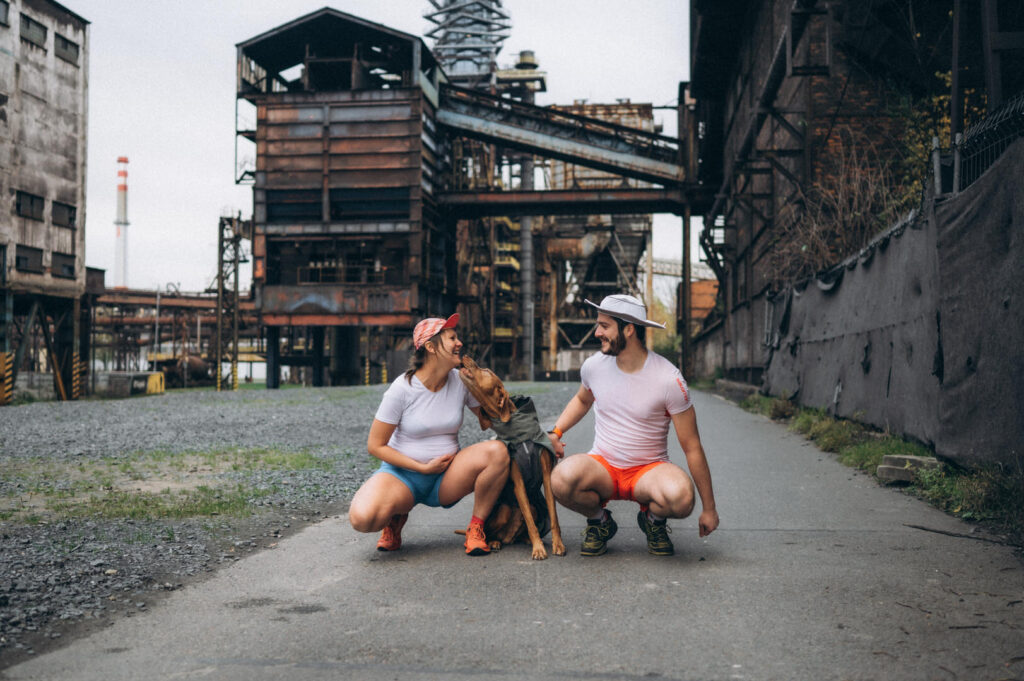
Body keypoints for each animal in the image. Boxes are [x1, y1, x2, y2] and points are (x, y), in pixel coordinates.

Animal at [458, 356, 565, 557]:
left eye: (486, 370)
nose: (465, 356)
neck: (520, 436)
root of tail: (508, 538)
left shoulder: (547, 477)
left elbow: (553, 517)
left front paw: (557, 544)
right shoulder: (518, 483)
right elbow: (530, 521)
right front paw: (538, 548)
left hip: (533, 508)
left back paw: (522, 539)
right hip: (504, 510)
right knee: (492, 531)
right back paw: (493, 542)